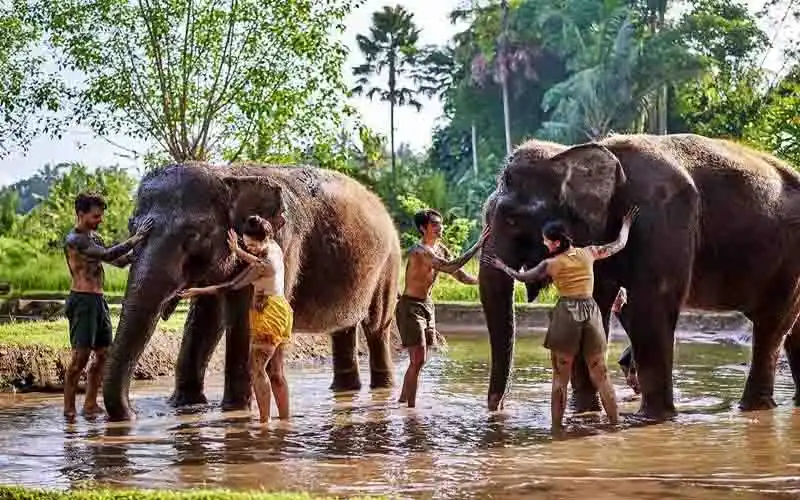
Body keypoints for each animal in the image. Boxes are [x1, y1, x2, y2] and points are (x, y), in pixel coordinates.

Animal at [102, 162, 401, 421]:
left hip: (390, 262)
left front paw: (233, 410)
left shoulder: (285, 243)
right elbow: (205, 319)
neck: (229, 175)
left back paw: (382, 389)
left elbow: (245, 316)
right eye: (131, 227)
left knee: (376, 326)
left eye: (193, 235)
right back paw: (345, 390)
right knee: (344, 328)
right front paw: (185, 405)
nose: (133, 414)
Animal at [479, 133, 800, 420]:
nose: (498, 409)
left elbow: (650, 308)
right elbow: (598, 305)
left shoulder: (662, 219)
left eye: (511, 219)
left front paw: (652, 418)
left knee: (771, 325)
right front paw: (586, 413)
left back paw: (752, 408)